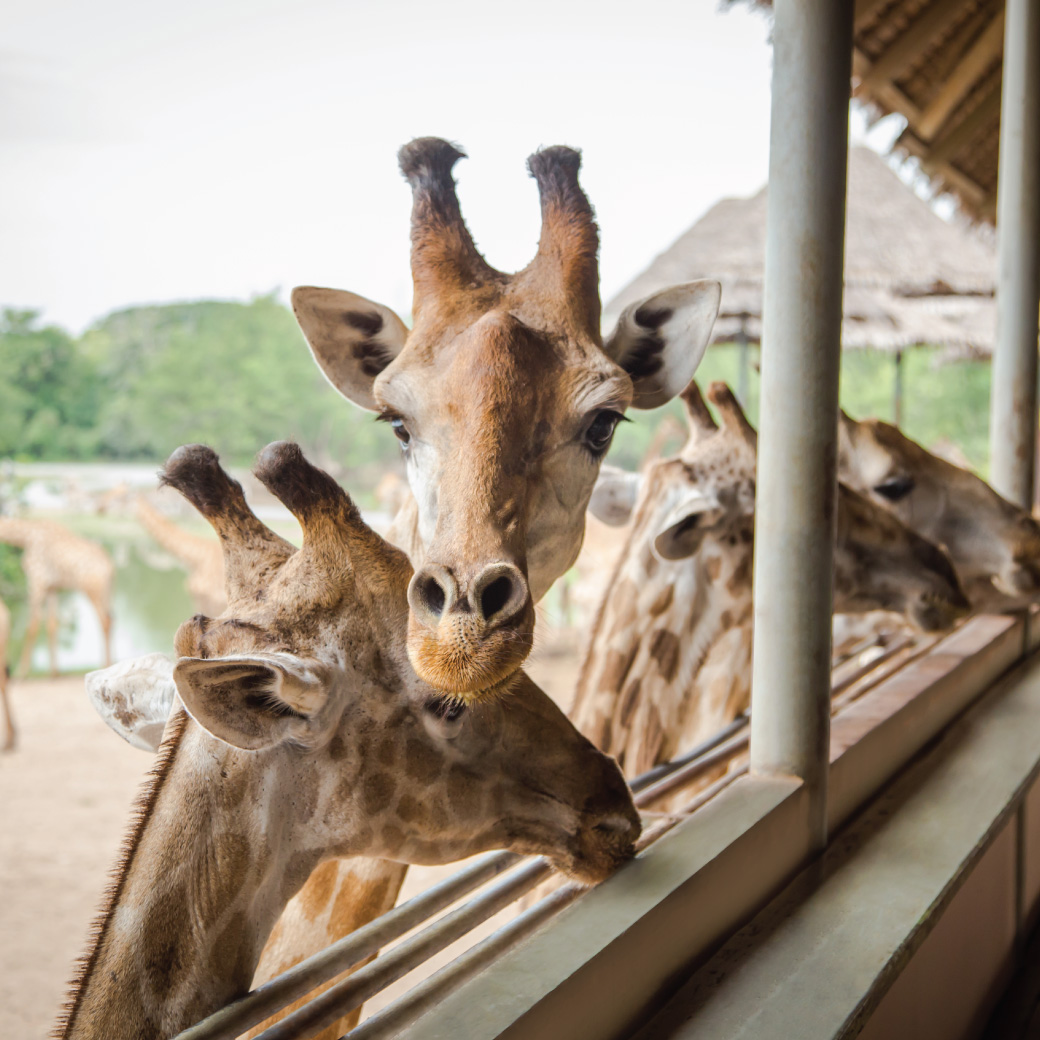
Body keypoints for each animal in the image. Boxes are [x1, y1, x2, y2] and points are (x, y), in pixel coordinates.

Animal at [0, 517, 113, 677]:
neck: (26, 537)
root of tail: (110, 567)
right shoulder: (52, 588)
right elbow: (51, 624)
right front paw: (54, 672)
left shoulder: (37, 581)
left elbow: (32, 626)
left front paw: (21, 672)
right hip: (108, 592)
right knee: (112, 619)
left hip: (92, 589)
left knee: (104, 621)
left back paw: (105, 664)